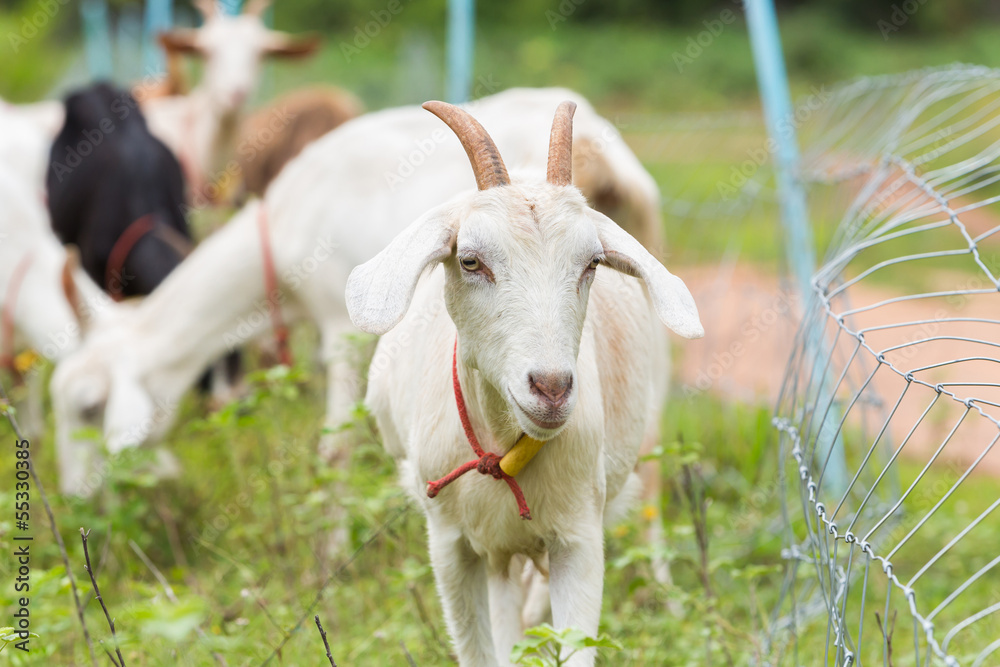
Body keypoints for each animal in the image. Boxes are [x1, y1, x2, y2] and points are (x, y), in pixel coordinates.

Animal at [49, 87, 663, 499]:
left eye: (89, 407)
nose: (75, 494)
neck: (286, 224)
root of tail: (604, 152)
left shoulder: (339, 325)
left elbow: (336, 448)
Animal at [346, 101, 702, 667]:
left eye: (593, 263)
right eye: (470, 260)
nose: (551, 388)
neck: (503, 449)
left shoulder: (578, 538)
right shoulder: (450, 545)